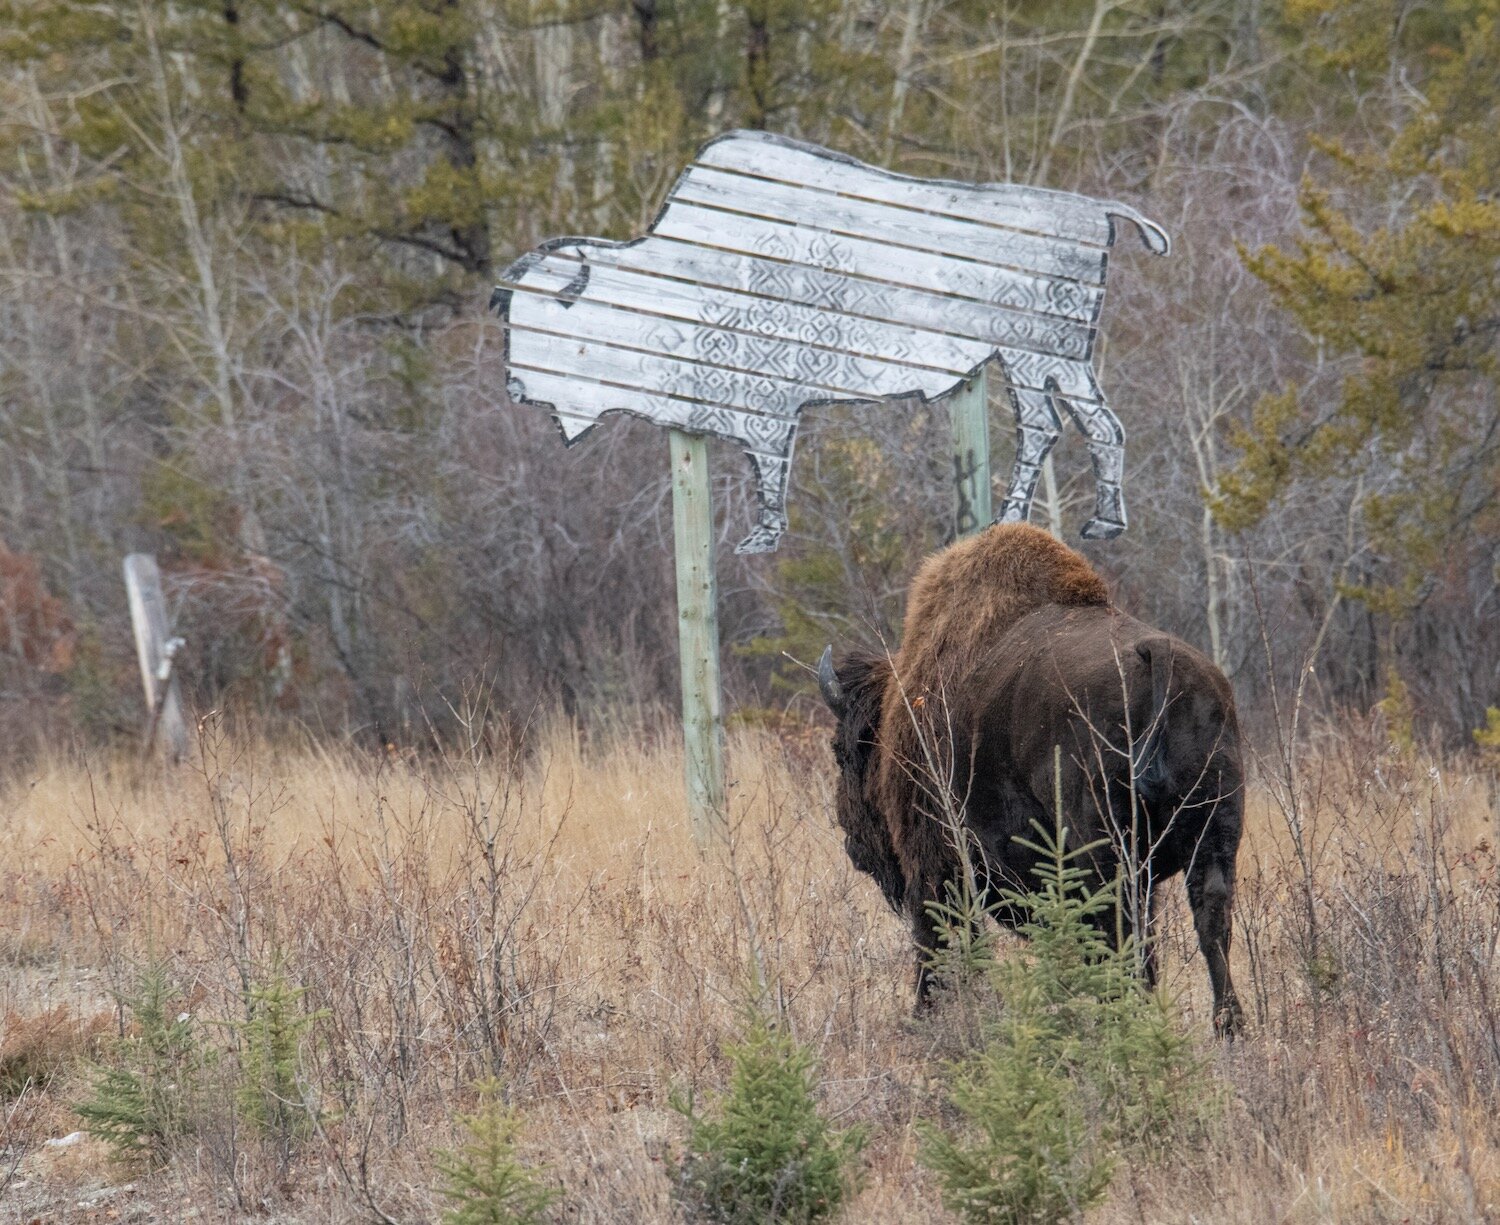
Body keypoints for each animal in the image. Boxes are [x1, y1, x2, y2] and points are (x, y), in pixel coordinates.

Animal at [819, 523, 1245, 1036]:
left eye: (843, 753)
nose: (852, 843)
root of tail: (1156, 657)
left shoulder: (935, 861)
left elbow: (937, 940)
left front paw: (927, 1016)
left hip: (1107, 852)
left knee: (1126, 938)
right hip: (1213, 838)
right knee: (1210, 922)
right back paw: (1228, 1027)